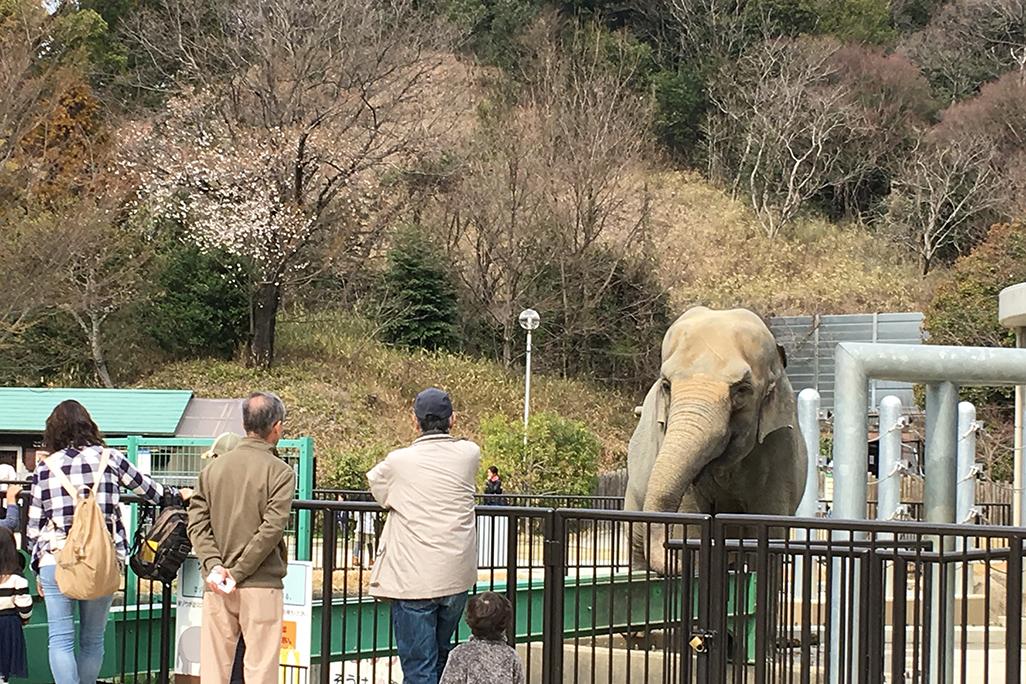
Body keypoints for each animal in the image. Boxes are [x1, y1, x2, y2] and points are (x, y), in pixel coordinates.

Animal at [623, 305, 808, 574]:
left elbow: (768, 525)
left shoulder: (779, 448)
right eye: (666, 385)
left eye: (742, 390)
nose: (673, 561)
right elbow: (691, 522)